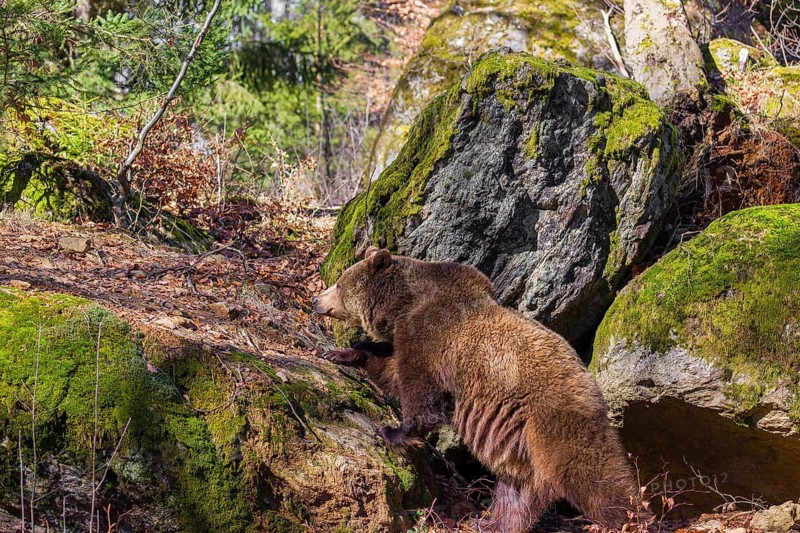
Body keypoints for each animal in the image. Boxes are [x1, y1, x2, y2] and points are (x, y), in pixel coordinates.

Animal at [313, 247, 635, 532]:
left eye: (339, 283)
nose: (316, 299)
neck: (404, 305)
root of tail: (593, 386)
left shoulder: (432, 342)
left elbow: (421, 396)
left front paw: (393, 431)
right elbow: (388, 366)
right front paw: (341, 353)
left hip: (556, 420)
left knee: (593, 477)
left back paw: (632, 518)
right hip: (520, 446)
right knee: (517, 492)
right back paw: (494, 523)